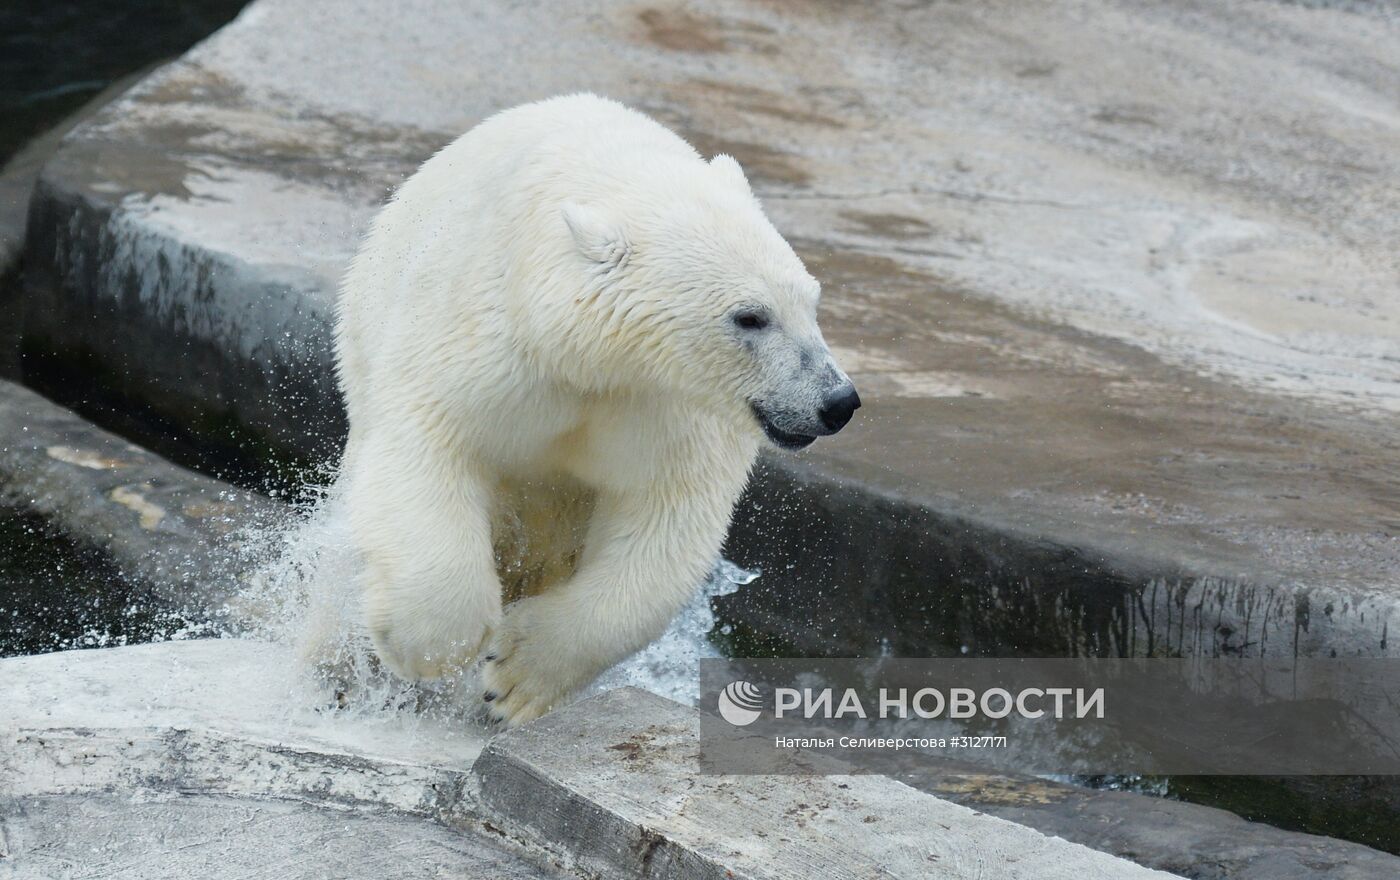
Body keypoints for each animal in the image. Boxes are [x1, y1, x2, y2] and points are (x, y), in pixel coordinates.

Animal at [337, 92, 856, 721]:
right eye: (750, 316)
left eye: (812, 302)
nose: (837, 401)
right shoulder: (487, 339)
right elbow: (432, 440)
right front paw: (430, 646)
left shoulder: (668, 406)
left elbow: (666, 520)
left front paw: (513, 679)